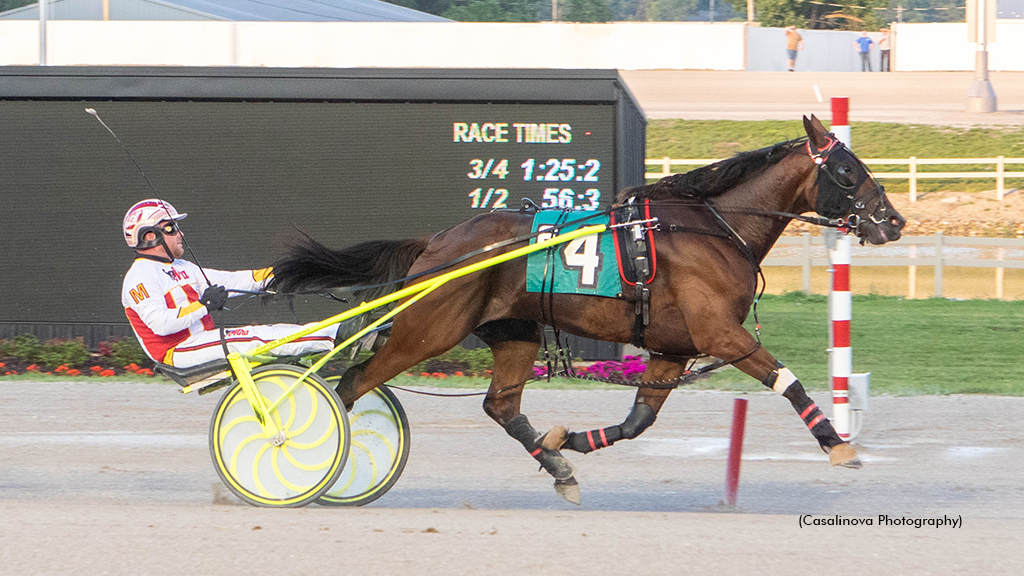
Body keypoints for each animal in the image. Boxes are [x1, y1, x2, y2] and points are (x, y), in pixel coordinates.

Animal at [268, 115, 906, 503]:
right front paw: (838, 444)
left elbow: (637, 422)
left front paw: (567, 442)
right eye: (848, 172)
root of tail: (438, 243)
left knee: (500, 405)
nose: (894, 221)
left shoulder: (671, 347)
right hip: (427, 331)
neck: (714, 228)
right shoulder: (720, 334)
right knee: (350, 384)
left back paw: (558, 468)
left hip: (514, 331)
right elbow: (787, 382)